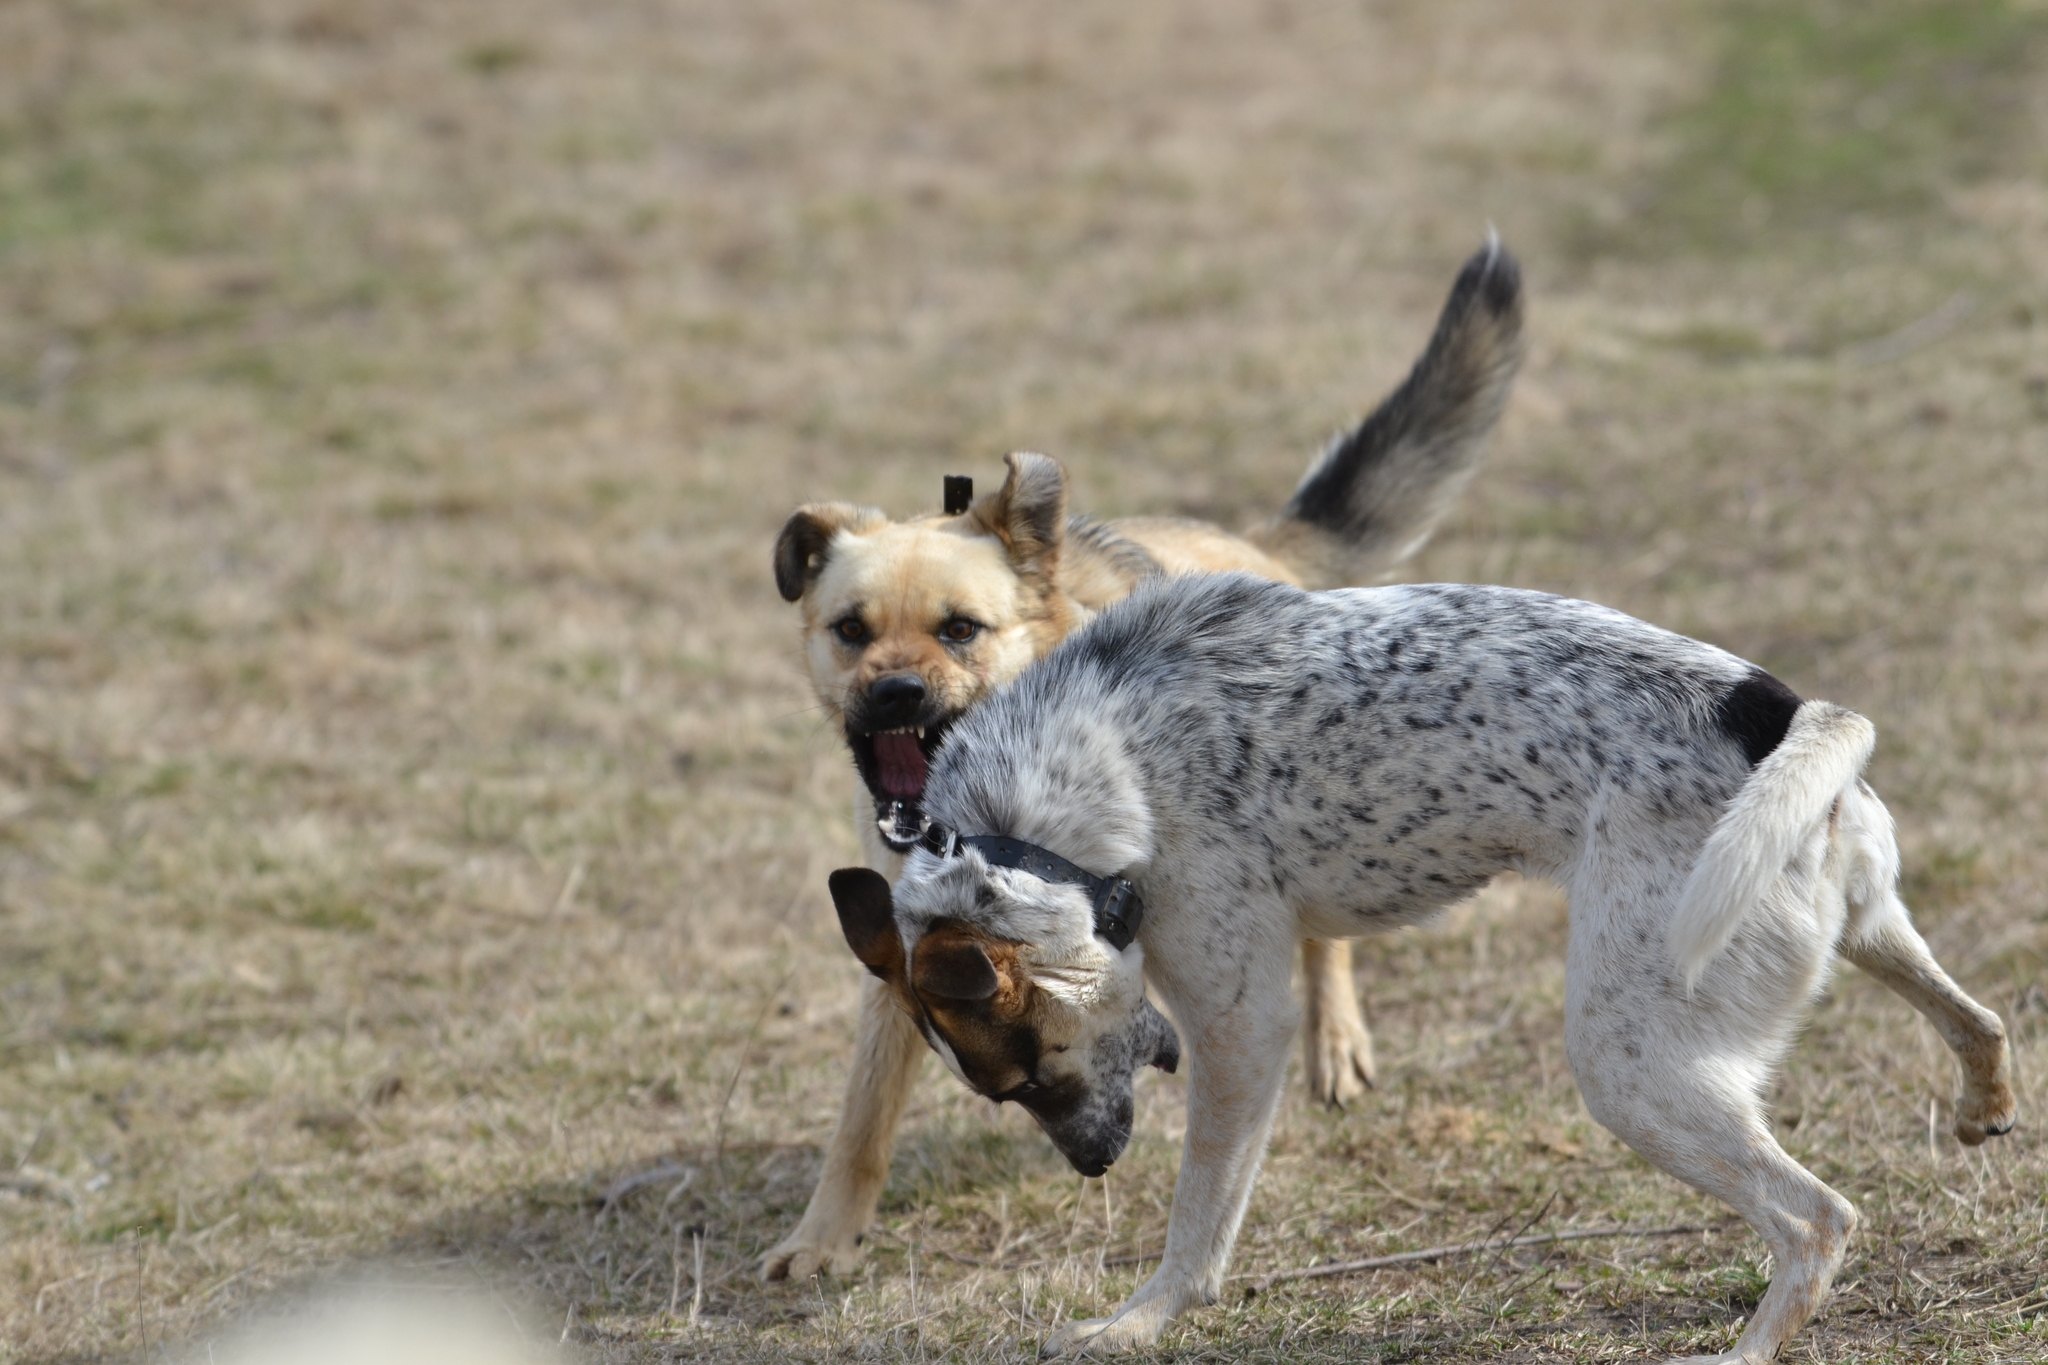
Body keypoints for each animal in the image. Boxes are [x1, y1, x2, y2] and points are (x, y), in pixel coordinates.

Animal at [765, 242, 1523, 1285]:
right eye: (850, 631)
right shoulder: (905, 944)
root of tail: (1250, 546)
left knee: (1326, 940)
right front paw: (823, 1236)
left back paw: (1335, 1042)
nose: (897, 695)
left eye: (961, 630)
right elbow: (861, 1116)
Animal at [831, 573, 2015, 1358]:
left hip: (1632, 1070)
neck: (1034, 831)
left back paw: (1749, 1348)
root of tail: (1784, 717)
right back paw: (1983, 1107)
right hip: (1864, 931)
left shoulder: (1241, 1027)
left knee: (1817, 1222)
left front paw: (1141, 1320)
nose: (1090, 1167)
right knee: (1977, 1021)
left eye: (1031, 1073)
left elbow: (1198, 1216)